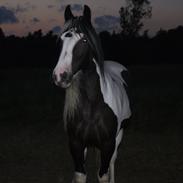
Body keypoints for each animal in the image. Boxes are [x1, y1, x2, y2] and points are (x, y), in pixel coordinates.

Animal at [52, 5, 131, 182]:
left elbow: (103, 174)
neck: (93, 106)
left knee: (112, 162)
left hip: (119, 137)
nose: (60, 75)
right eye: (61, 40)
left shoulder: (108, 144)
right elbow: (80, 174)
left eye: (84, 40)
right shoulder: (76, 143)